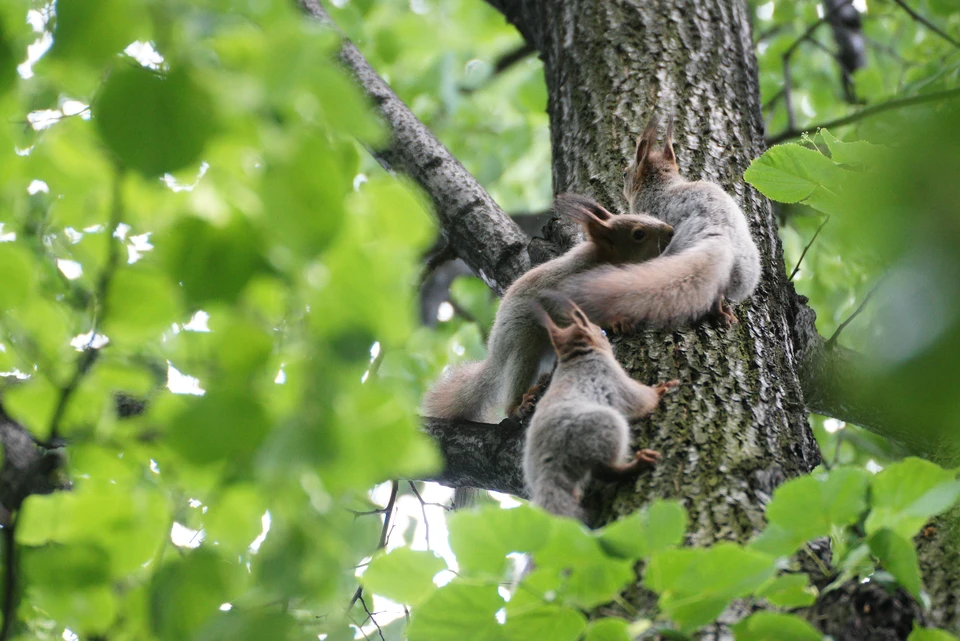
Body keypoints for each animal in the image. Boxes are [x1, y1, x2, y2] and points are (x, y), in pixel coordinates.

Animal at [420, 195, 676, 424]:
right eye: (638, 234)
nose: (671, 230)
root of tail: (495, 353)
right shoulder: (564, 293)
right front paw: (614, 321)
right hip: (523, 342)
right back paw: (518, 406)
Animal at [520, 300, 680, 520]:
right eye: (600, 332)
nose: (606, 334)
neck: (576, 356)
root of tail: (549, 466)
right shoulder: (611, 376)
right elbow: (638, 399)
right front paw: (661, 389)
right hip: (605, 427)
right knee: (603, 471)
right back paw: (636, 464)